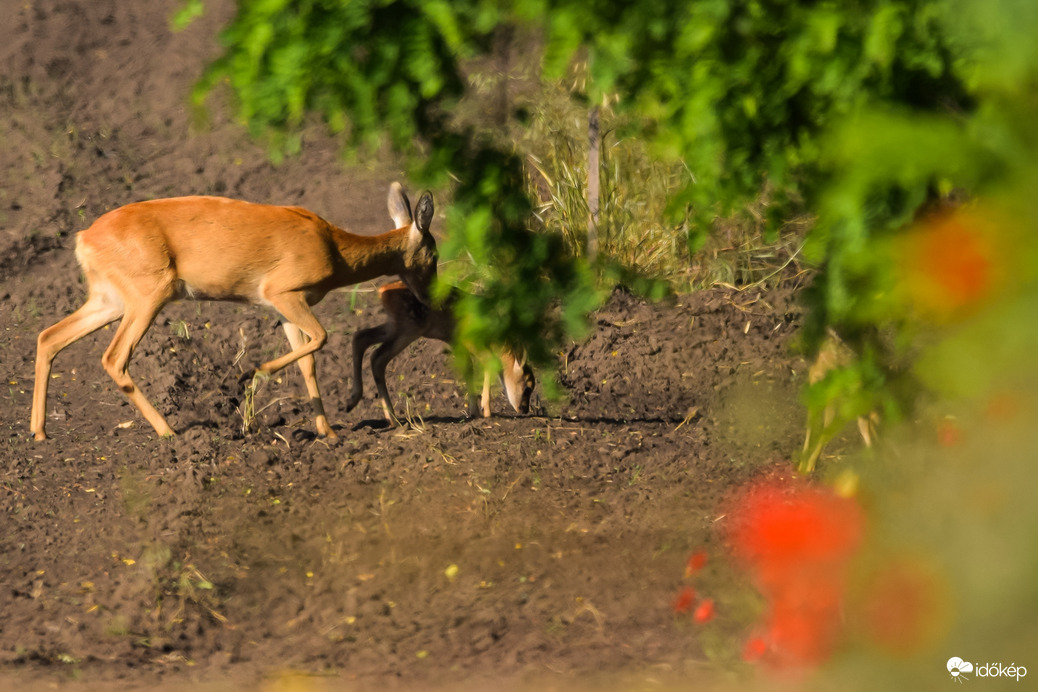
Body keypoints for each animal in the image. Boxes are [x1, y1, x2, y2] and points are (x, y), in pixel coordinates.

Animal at [32, 183, 435, 441]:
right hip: (148, 297)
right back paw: (169, 432)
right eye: (434, 254)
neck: (334, 248)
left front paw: (330, 432)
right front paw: (250, 378)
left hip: (109, 300)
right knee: (114, 358)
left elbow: (307, 360)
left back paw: (39, 432)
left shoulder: (285, 306)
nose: (428, 301)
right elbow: (321, 339)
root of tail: (84, 238)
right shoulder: (282, 293)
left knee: (49, 337)